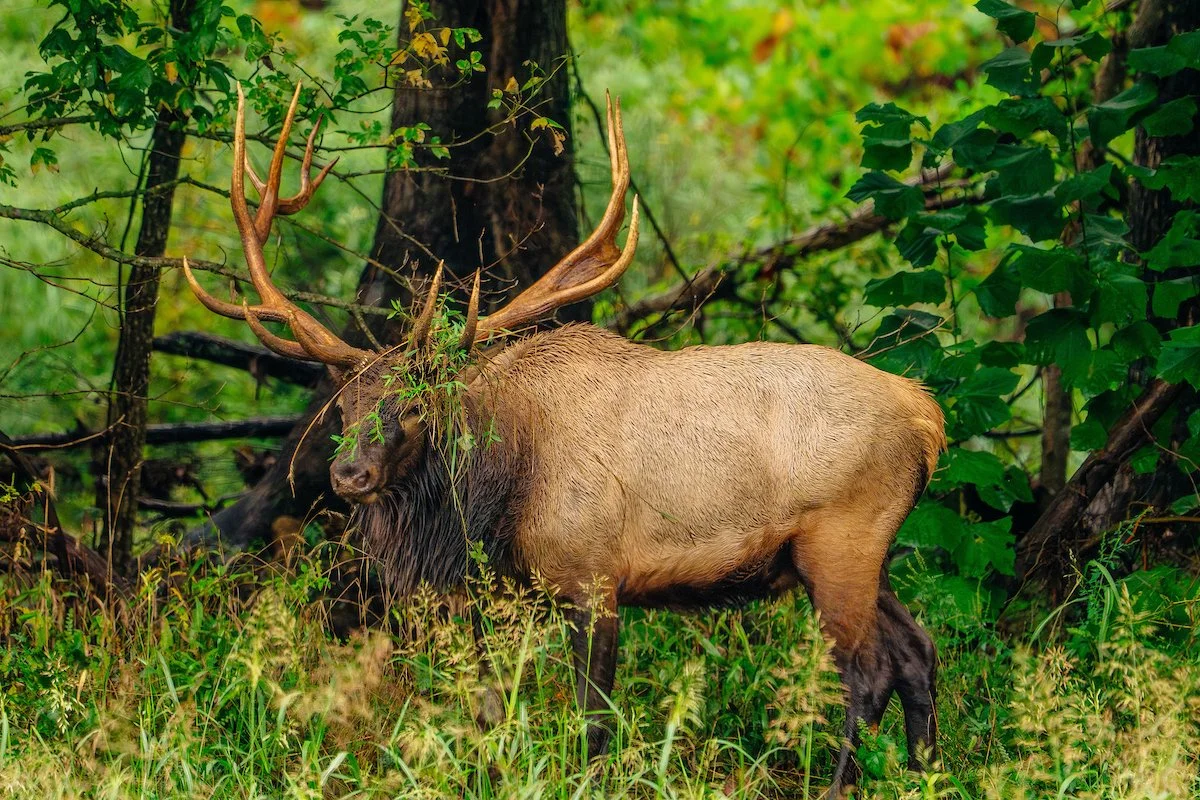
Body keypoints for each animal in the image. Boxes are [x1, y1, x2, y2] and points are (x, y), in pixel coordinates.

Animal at [182, 84, 947, 797]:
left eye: (414, 405)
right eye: (344, 407)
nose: (349, 476)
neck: (496, 495)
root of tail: (926, 414)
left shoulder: (593, 573)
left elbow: (593, 717)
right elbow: (493, 708)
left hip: (840, 537)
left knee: (868, 669)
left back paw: (841, 784)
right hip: (861, 550)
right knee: (918, 650)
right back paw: (926, 772)